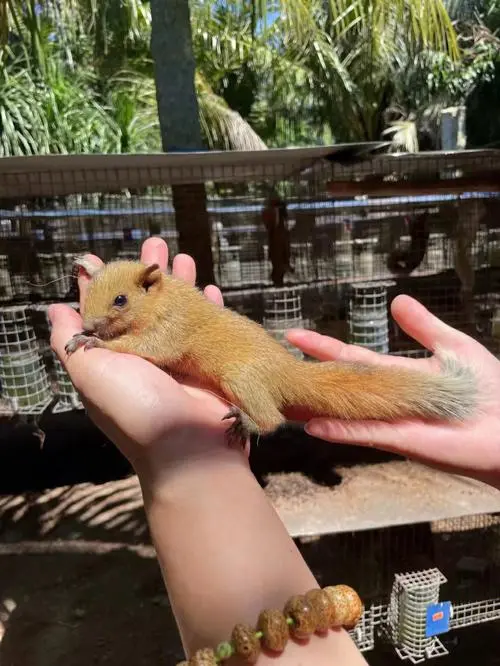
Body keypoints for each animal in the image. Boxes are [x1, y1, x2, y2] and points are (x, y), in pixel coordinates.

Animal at [66, 258, 476, 446]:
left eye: (121, 300)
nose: (89, 324)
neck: (162, 299)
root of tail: (288, 373)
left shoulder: (172, 328)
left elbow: (147, 347)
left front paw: (93, 342)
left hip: (241, 378)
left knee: (273, 419)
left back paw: (248, 422)